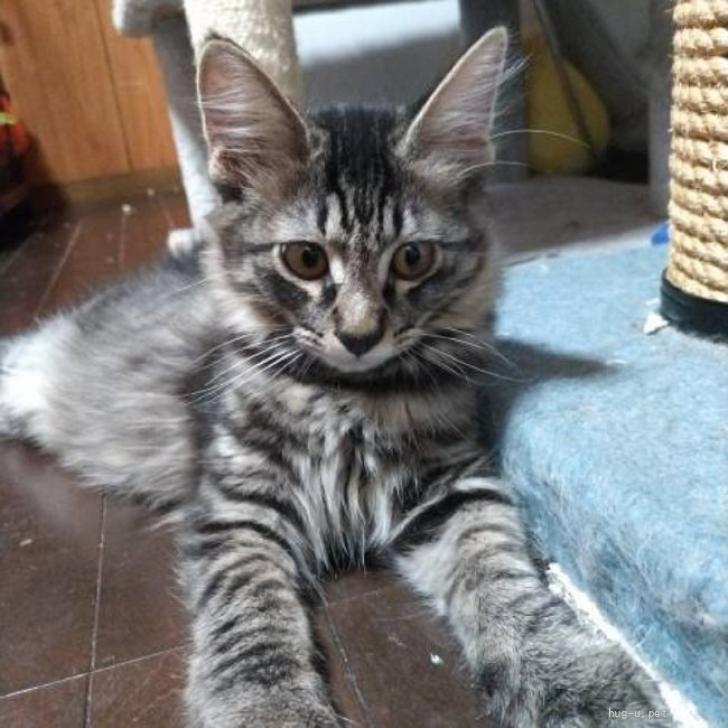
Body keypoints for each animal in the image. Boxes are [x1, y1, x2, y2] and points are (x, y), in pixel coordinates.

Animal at [0, 28, 674, 728]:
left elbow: (506, 581)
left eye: (412, 258)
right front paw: (270, 710)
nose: (359, 336)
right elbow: (251, 617)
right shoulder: (237, 506)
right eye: (304, 259)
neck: (347, 398)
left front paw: (574, 679)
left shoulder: (453, 487)